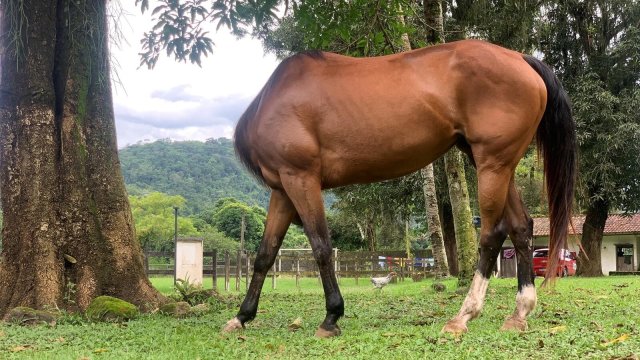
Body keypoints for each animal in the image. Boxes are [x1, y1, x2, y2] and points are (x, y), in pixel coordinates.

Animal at [224, 40, 576, 338]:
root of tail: (520, 58)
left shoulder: (301, 179)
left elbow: (321, 247)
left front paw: (331, 317)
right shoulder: (283, 189)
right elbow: (265, 254)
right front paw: (241, 317)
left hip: (492, 165)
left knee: (492, 233)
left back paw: (463, 315)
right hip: (499, 165)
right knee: (520, 227)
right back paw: (519, 313)